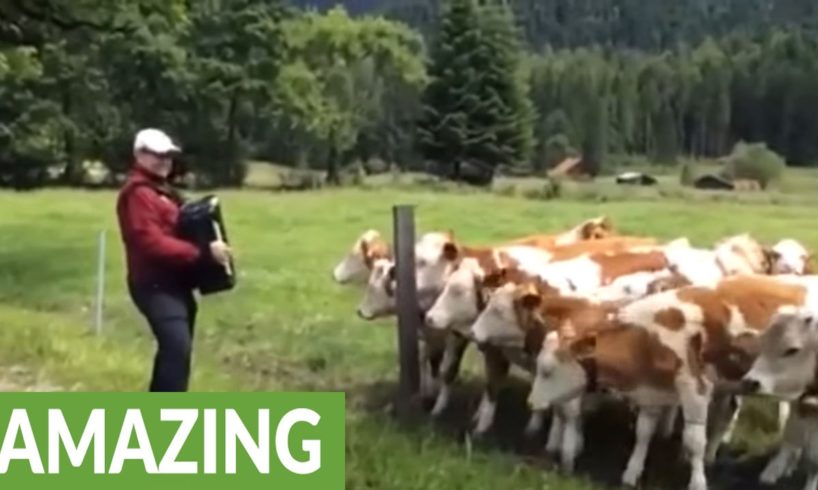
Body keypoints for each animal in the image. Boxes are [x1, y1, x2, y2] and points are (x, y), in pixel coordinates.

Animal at [524, 274, 816, 490]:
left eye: (547, 371)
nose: (531, 402)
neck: (649, 334)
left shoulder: (696, 387)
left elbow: (693, 440)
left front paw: (697, 482)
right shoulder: (652, 390)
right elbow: (643, 432)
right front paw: (631, 472)